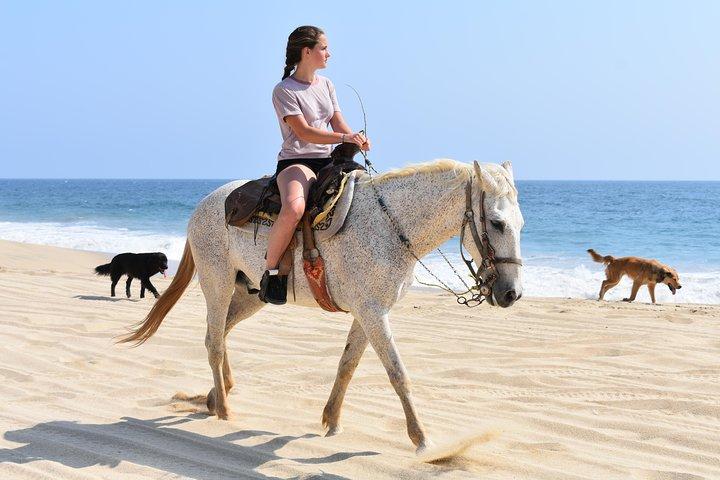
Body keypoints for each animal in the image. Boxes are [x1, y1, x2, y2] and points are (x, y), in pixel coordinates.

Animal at [120, 159, 524, 454]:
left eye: (520, 224)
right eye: (496, 222)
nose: (512, 293)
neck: (389, 227)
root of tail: (204, 203)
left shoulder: (368, 313)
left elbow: (347, 366)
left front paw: (331, 421)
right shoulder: (374, 313)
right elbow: (398, 374)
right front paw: (423, 440)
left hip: (249, 293)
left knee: (220, 333)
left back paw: (217, 394)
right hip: (216, 283)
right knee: (213, 342)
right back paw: (223, 409)